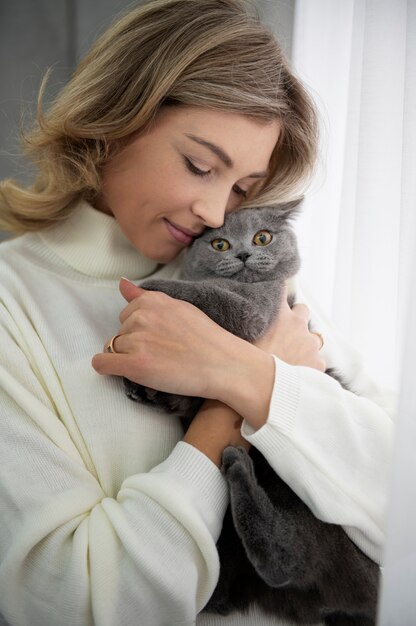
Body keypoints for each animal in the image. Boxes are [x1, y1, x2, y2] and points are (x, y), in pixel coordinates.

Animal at [122, 202, 378, 620]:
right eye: (220, 243)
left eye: (263, 237)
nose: (243, 253)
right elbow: (188, 397)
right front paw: (149, 391)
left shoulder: (256, 311)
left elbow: (211, 295)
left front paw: (152, 288)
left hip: (316, 516)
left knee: (289, 561)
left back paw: (238, 467)